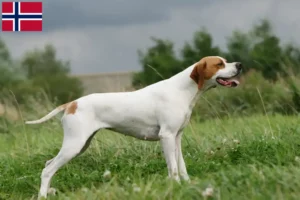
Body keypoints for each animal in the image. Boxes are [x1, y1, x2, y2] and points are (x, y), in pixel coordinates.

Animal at [25, 56, 243, 198]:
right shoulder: (167, 136)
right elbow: (172, 168)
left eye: (225, 61)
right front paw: (175, 187)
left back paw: (50, 191)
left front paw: (188, 184)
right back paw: (43, 195)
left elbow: (181, 166)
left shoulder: (177, 137)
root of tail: (71, 103)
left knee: (49, 164)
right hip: (74, 144)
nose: (240, 65)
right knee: (48, 170)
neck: (183, 90)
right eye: (219, 63)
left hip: (79, 145)